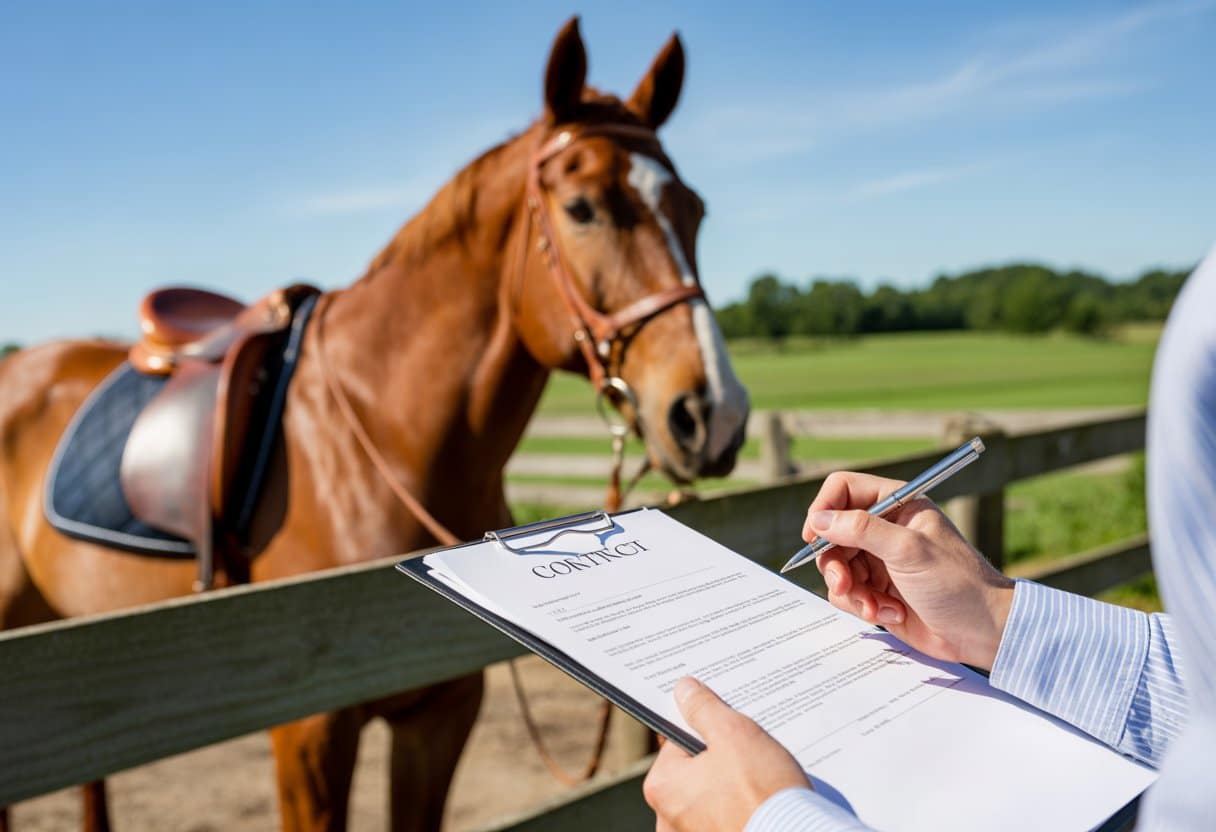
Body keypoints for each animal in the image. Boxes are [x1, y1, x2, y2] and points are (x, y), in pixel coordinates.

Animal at [0, 17, 749, 832]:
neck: (381, 435)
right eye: (583, 208)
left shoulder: (442, 713)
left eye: (696, 210)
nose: (713, 412)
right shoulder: (309, 732)